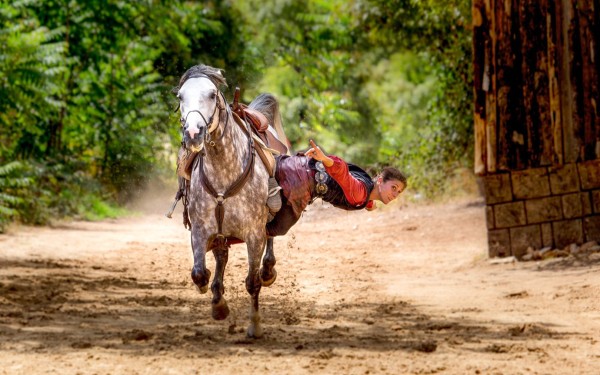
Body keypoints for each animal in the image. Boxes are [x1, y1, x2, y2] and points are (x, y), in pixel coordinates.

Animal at [175, 64, 288, 338]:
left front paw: (254, 325)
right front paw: (217, 303)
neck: (224, 168)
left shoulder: (254, 234)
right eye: (180, 97)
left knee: (268, 244)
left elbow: (253, 282)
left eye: (212, 95)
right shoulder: (200, 229)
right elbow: (199, 273)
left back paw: (268, 270)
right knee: (221, 257)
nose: (193, 133)